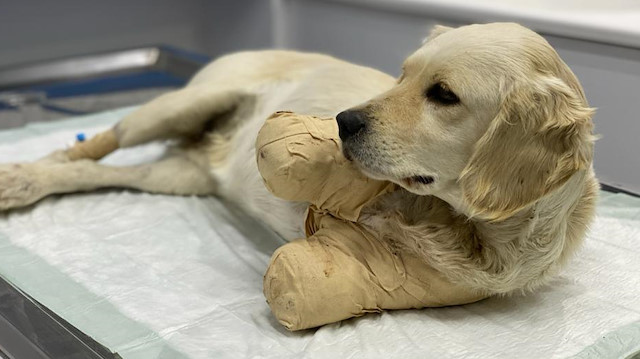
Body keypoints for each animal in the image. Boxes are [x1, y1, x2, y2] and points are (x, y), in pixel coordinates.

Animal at [1, 23, 600, 298]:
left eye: (443, 95)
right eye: (401, 75)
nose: (342, 122)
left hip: (175, 175)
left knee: (90, 171)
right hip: (174, 108)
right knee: (90, 145)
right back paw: (21, 175)